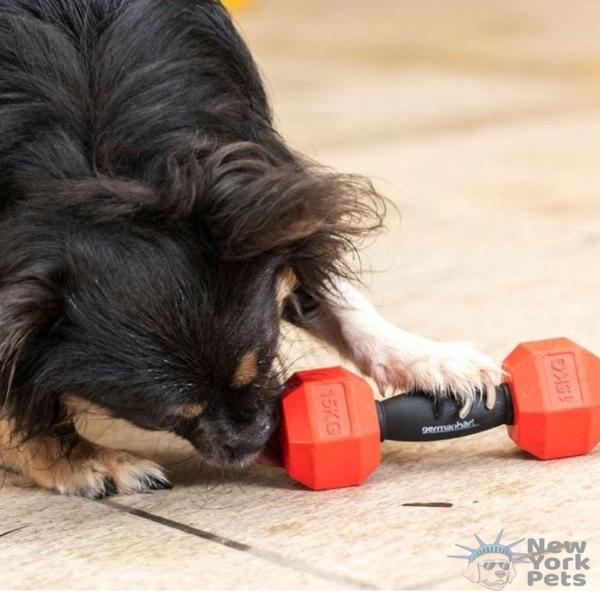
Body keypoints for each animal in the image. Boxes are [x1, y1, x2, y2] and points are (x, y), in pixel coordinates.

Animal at [0, 0, 500, 496]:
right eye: (159, 415)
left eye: (262, 360)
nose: (252, 440)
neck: (101, 168)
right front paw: (77, 460)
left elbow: (323, 283)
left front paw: (428, 360)